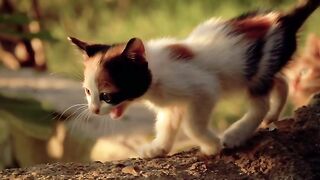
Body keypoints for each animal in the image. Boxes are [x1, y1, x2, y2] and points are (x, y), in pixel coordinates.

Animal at [69, 0, 318, 158]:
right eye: (88, 92)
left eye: (107, 95)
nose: (93, 110)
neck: (156, 78)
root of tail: (281, 20)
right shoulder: (172, 104)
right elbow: (167, 123)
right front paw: (158, 148)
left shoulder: (205, 89)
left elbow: (191, 125)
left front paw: (211, 145)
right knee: (282, 81)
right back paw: (273, 116)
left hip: (256, 71)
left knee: (260, 103)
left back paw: (236, 134)